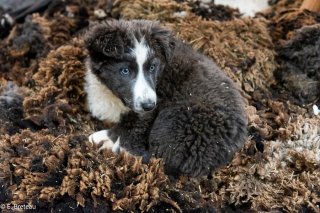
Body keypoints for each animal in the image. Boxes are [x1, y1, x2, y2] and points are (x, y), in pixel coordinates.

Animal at [84, 19, 248, 176]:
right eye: (124, 71)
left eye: (152, 67)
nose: (149, 105)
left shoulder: (152, 109)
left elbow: (134, 127)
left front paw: (104, 139)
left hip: (179, 119)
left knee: (160, 157)